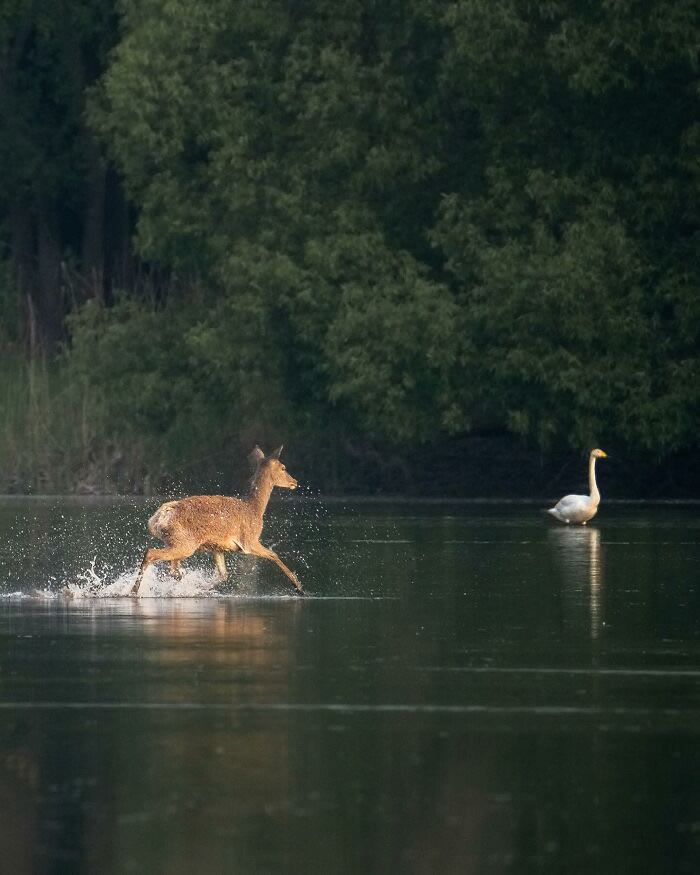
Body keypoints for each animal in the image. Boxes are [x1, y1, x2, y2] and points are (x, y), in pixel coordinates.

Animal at [131, 444, 304, 596]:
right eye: (283, 467)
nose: (295, 482)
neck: (254, 509)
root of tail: (158, 518)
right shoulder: (249, 540)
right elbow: (274, 555)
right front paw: (298, 587)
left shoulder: (218, 548)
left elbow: (222, 575)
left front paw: (201, 588)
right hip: (184, 543)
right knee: (151, 553)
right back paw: (134, 591)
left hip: (175, 542)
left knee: (172, 567)